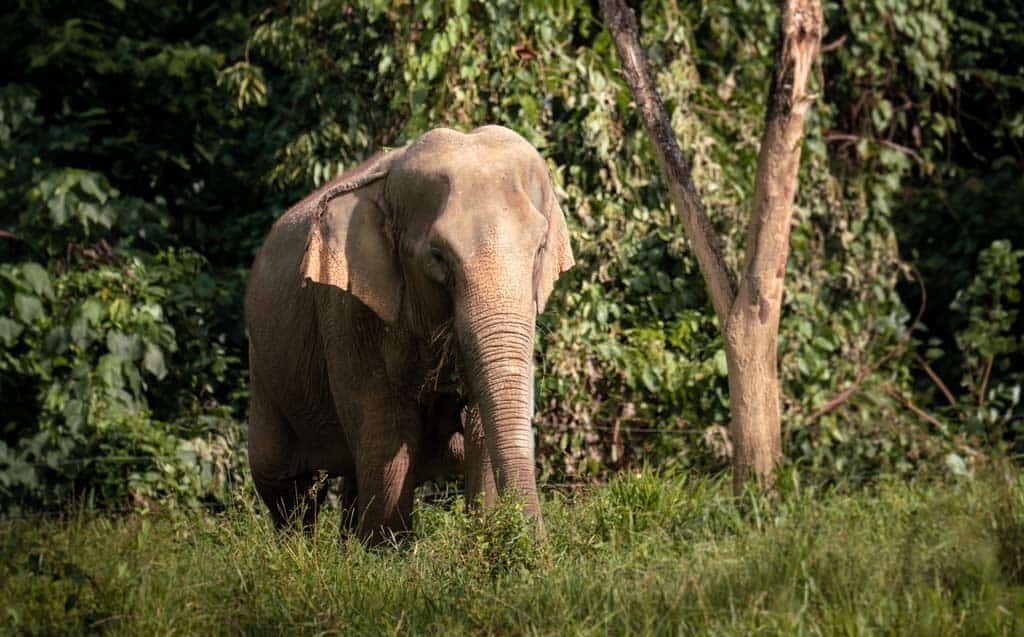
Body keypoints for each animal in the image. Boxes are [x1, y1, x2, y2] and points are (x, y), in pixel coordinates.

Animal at [244, 125, 574, 543]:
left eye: (540, 249)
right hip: (265, 366)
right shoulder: (346, 308)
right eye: (438, 256)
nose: (538, 549)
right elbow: (387, 433)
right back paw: (299, 550)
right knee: (284, 484)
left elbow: (481, 429)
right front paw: (388, 554)